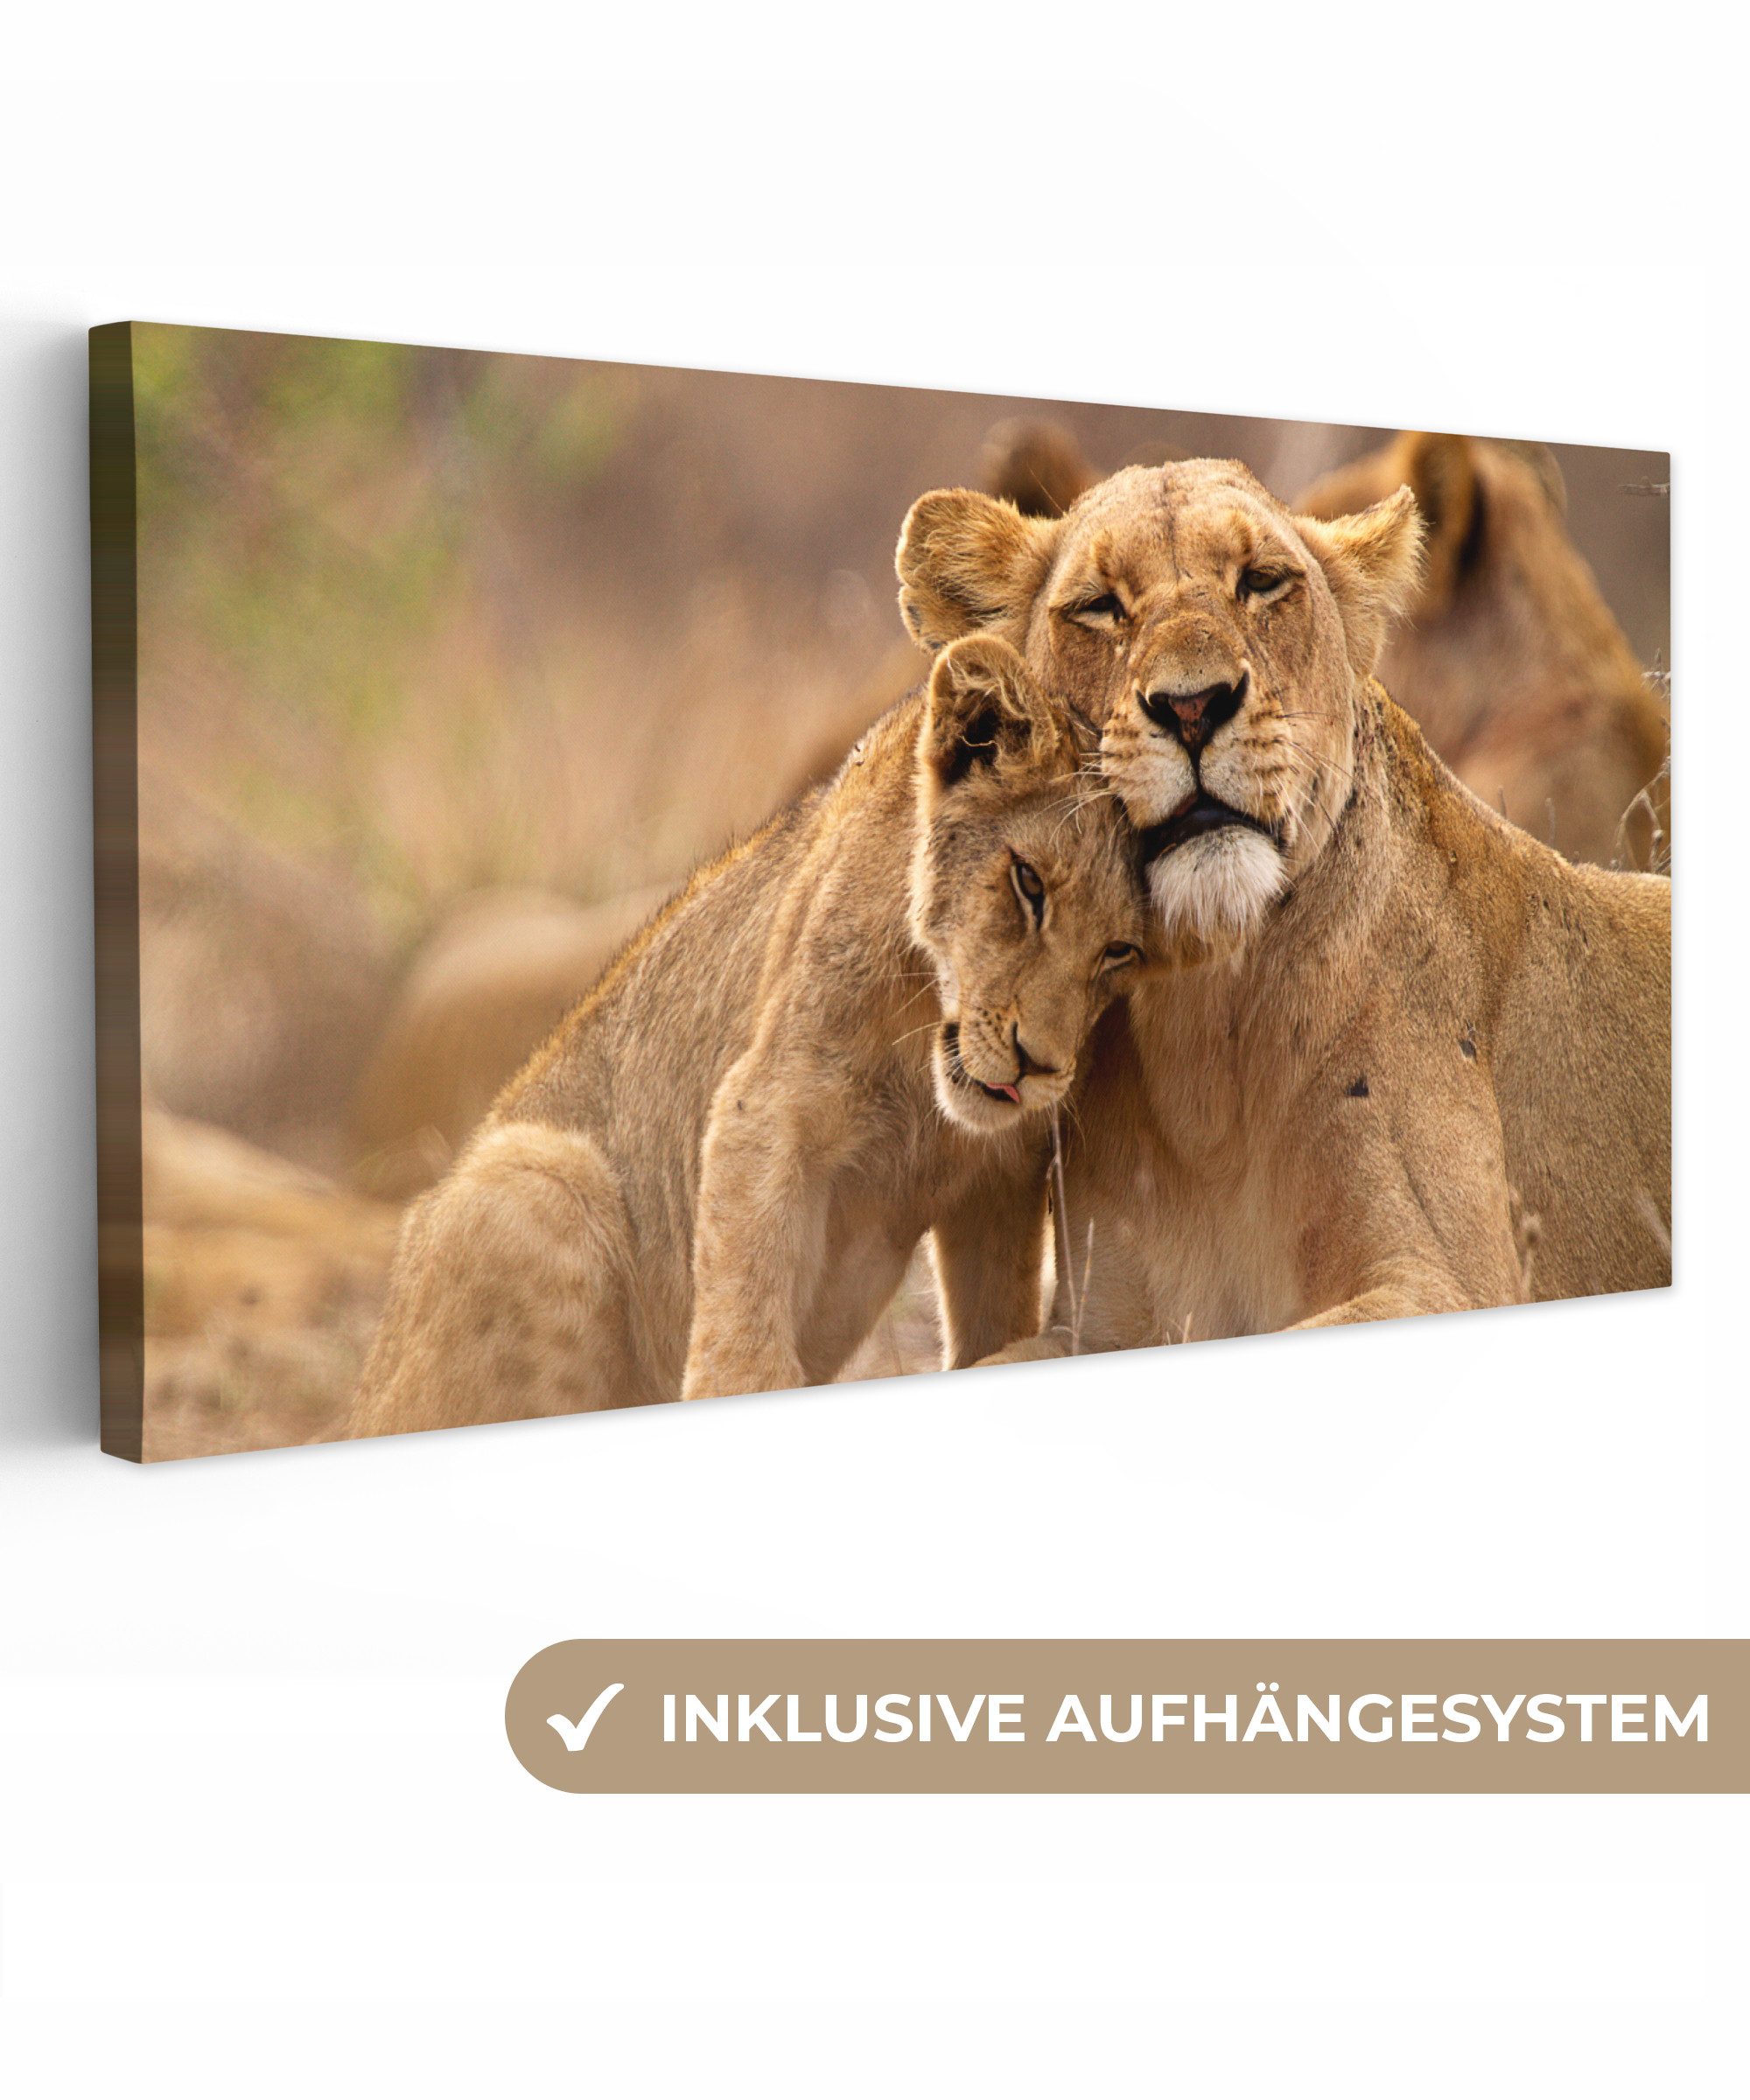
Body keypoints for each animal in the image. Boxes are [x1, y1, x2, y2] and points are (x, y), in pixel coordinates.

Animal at [350, 636, 1147, 1434]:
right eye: (1028, 883)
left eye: (1122, 951)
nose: (1036, 1065)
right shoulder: (766, 1106)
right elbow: (746, 1319)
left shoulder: (1001, 1176)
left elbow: (994, 1313)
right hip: (533, 1178)